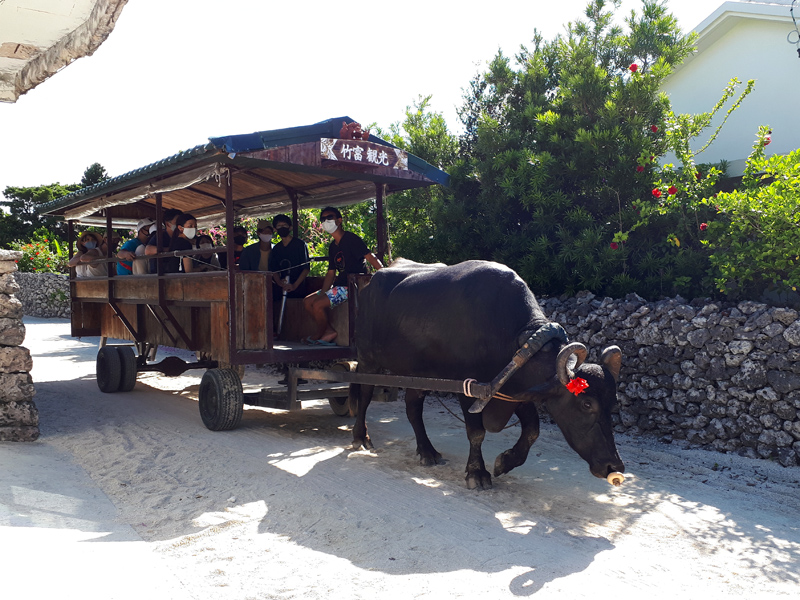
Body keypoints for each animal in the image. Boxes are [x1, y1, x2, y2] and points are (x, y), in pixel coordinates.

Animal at [351, 259, 625, 489]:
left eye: (613, 404)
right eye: (586, 403)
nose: (614, 466)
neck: (514, 338)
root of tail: (369, 284)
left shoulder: (513, 391)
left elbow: (532, 430)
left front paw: (505, 461)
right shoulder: (467, 389)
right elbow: (476, 432)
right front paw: (477, 473)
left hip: (416, 374)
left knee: (413, 408)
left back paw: (427, 452)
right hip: (367, 360)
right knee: (363, 395)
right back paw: (360, 437)